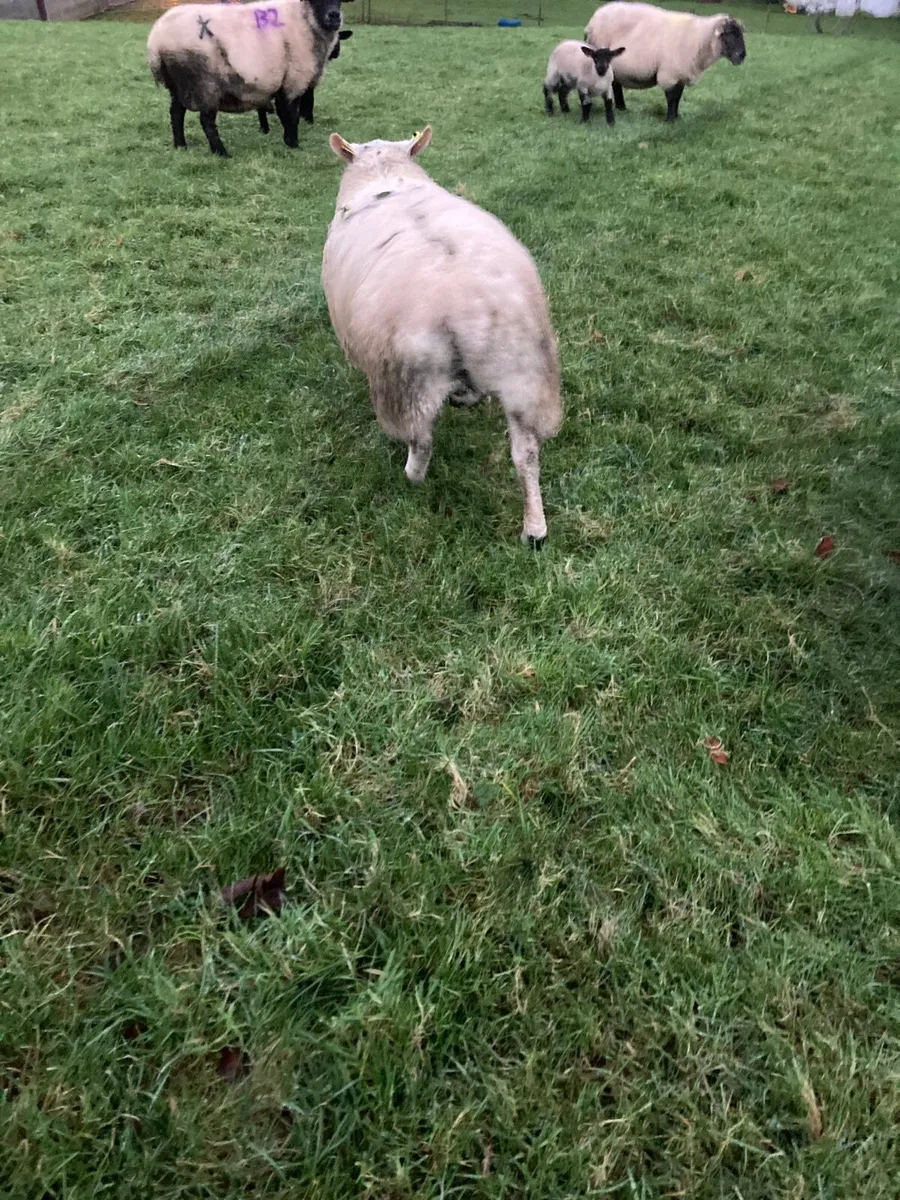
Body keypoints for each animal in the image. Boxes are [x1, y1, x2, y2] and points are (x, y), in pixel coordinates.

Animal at [147, 0, 347, 157]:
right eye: (315, 0)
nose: (334, 17)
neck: (305, 19)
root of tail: (156, 40)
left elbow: (285, 114)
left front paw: (288, 141)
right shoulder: (293, 81)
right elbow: (291, 115)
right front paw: (293, 144)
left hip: (178, 84)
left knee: (176, 113)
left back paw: (181, 145)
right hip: (204, 83)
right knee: (206, 120)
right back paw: (221, 153)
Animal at [321, 127, 562, 546]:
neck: (386, 177)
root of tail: (470, 306)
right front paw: (468, 397)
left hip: (412, 378)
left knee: (422, 441)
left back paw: (411, 478)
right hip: (525, 374)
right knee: (526, 453)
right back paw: (535, 527)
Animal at [584, 2, 746, 122]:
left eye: (741, 33)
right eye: (728, 33)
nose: (742, 55)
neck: (698, 38)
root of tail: (592, 20)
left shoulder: (681, 74)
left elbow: (678, 97)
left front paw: (677, 118)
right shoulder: (669, 74)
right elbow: (671, 98)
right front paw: (670, 120)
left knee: (616, 84)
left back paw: (621, 108)